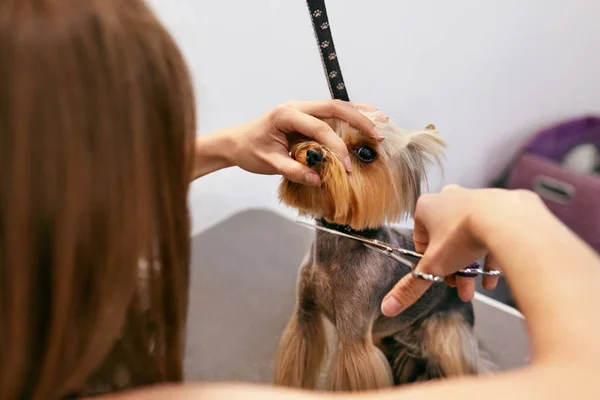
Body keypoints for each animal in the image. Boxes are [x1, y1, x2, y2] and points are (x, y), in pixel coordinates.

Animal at [274, 111, 490, 390]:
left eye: (366, 153)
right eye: (318, 128)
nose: (313, 154)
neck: (339, 243)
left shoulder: (354, 340)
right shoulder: (304, 316)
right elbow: (297, 360)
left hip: (447, 334)